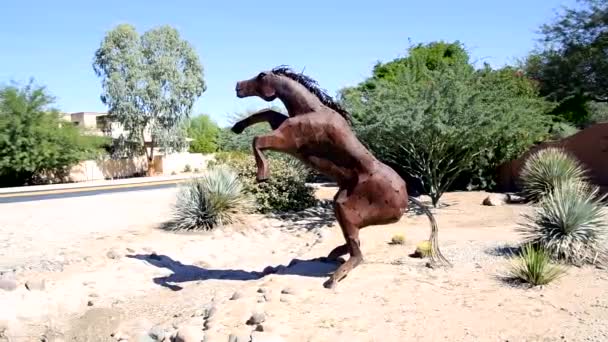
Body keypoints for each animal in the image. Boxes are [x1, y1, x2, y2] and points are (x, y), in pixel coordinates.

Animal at [230, 65, 448, 288]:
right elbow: (268, 112)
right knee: (354, 241)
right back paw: (332, 256)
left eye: (261, 76)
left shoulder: (288, 140)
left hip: (344, 207)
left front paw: (262, 175)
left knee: (358, 253)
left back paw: (333, 278)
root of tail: (407, 196)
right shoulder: (282, 126)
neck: (311, 110)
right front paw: (238, 127)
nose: (238, 86)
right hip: (345, 208)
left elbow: (258, 140)